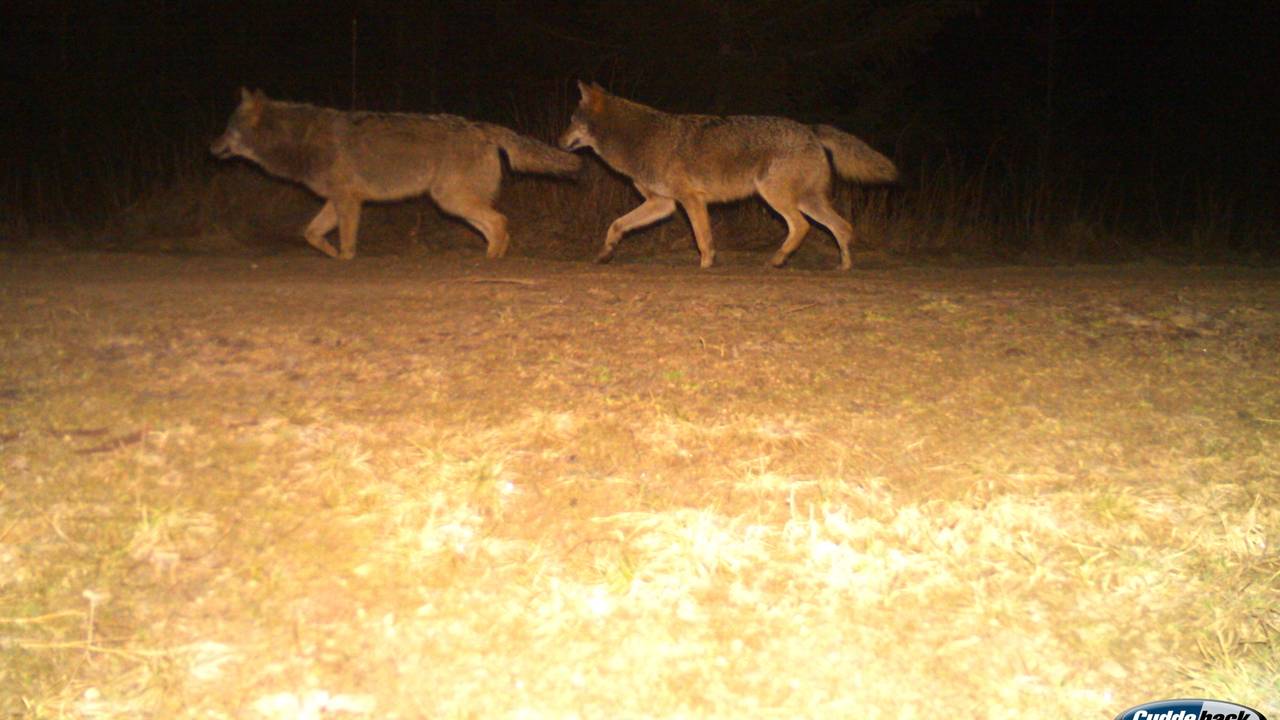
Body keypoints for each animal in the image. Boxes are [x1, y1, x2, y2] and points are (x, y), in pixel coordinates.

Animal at [211, 88, 580, 259]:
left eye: (227, 128)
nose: (210, 147)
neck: (299, 140)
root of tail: (483, 127)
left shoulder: (348, 201)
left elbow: (347, 240)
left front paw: (345, 258)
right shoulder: (337, 200)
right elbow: (310, 233)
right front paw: (330, 254)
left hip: (450, 201)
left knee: (500, 222)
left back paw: (490, 260)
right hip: (454, 204)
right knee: (494, 226)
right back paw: (491, 257)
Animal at [559, 81, 898, 270]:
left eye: (572, 120)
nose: (559, 142)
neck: (638, 139)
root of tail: (810, 129)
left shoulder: (690, 200)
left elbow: (702, 238)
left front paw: (705, 265)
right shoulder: (663, 204)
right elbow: (616, 225)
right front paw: (605, 254)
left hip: (776, 198)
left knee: (802, 227)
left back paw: (777, 260)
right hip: (806, 201)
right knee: (842, 227)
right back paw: (844, 266)